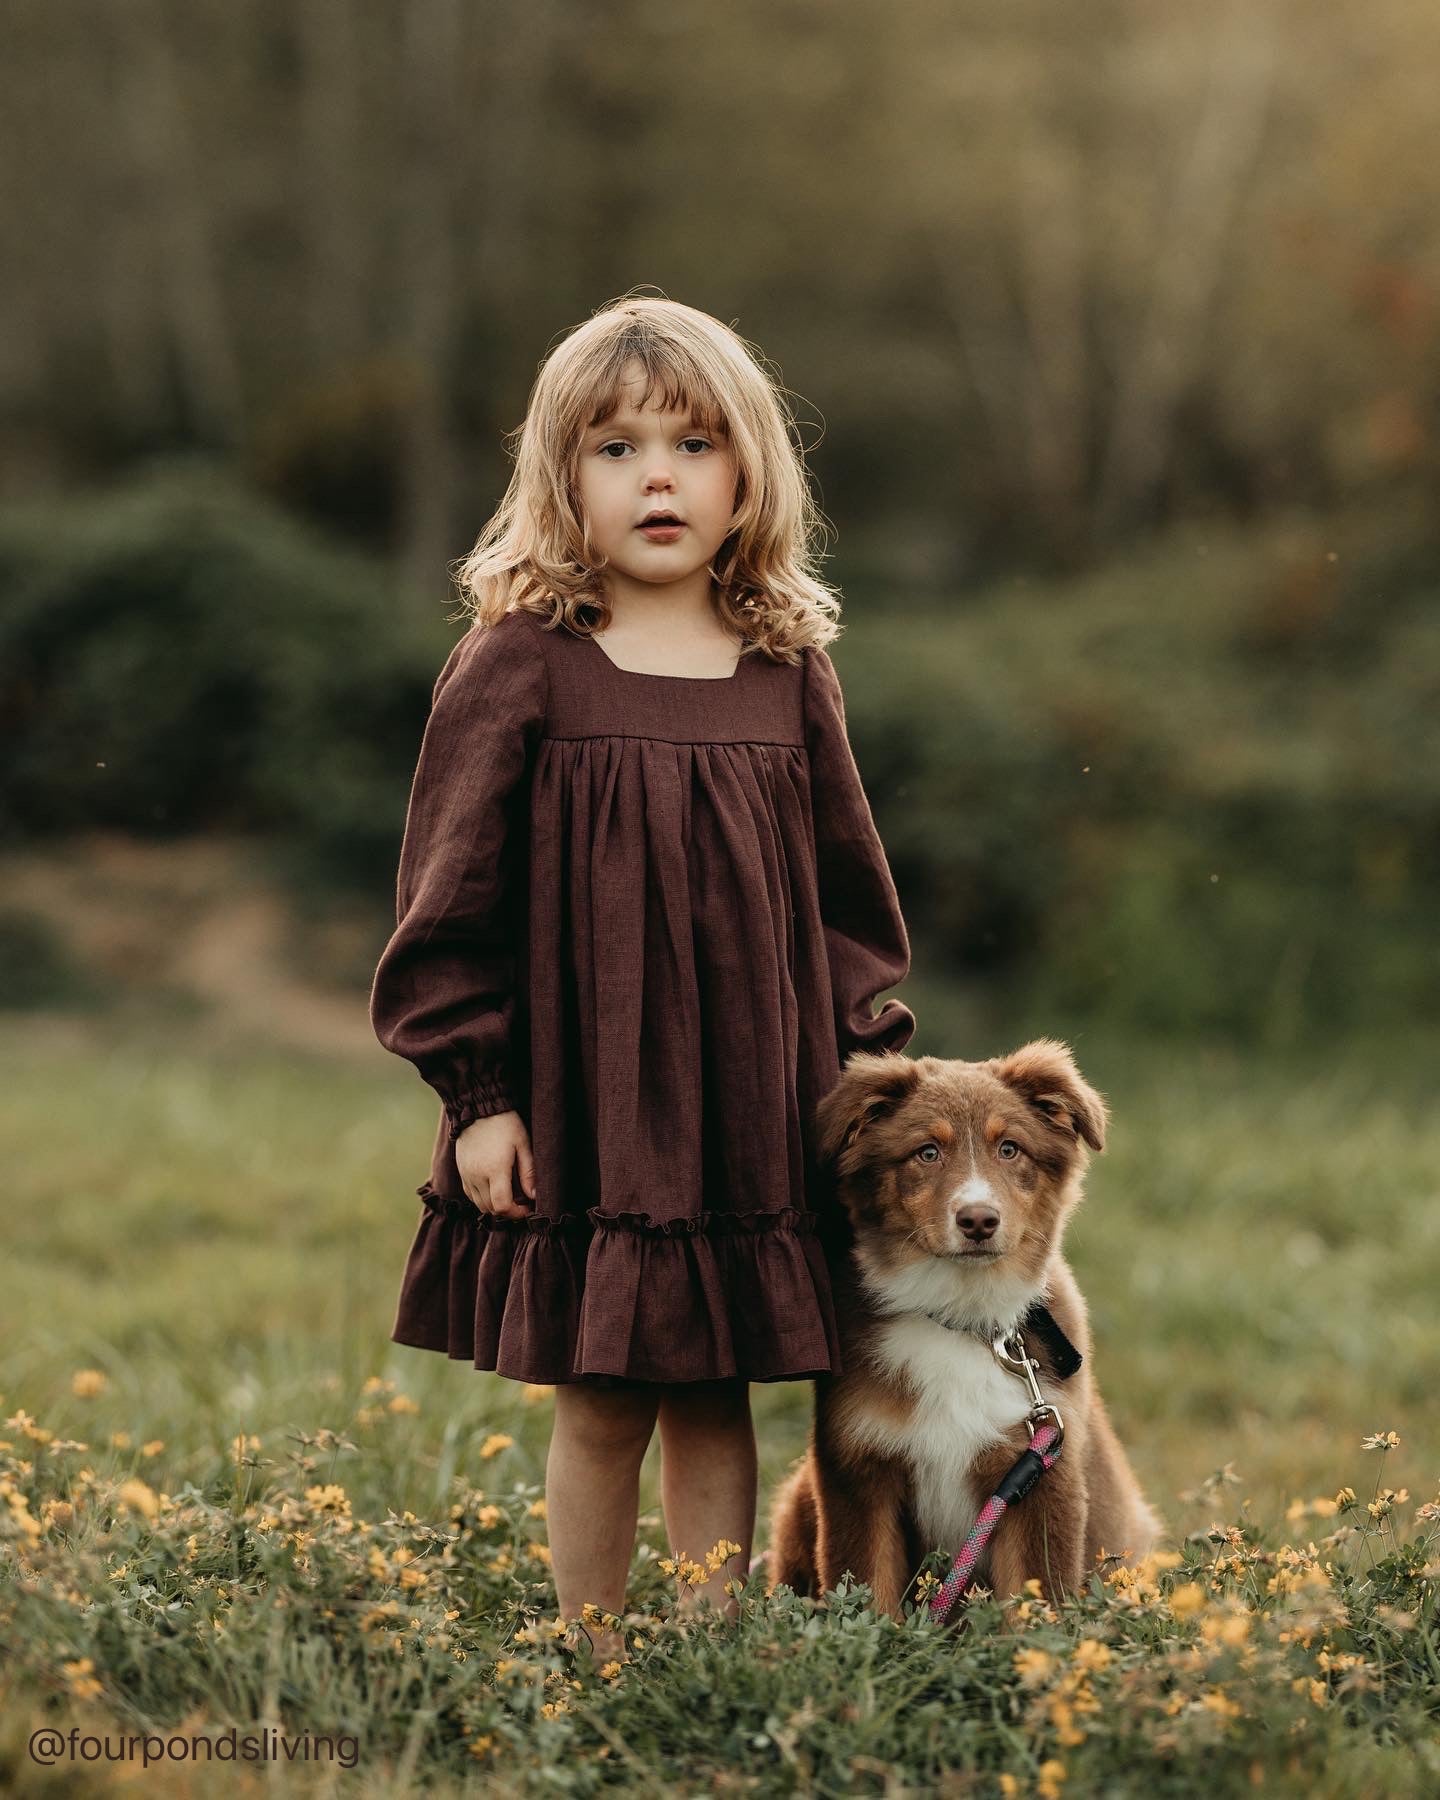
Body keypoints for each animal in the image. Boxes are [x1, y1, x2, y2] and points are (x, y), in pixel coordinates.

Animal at [770, 1044, 1166, 1620]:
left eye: (1010, 1149)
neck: (962, 1316)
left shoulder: (1041, 1474)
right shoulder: (859, 1472)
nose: (979, 1220)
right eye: (927, 1152)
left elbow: (1033, 1601)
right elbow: (869, 1591)